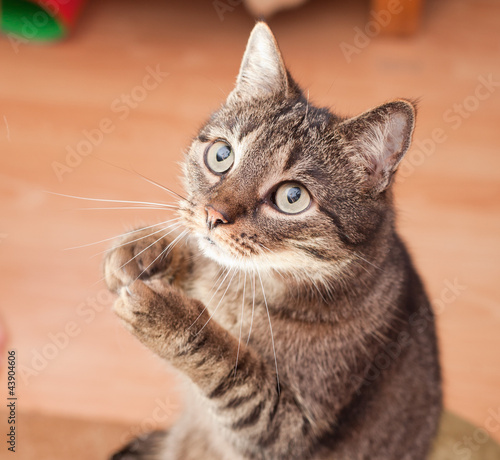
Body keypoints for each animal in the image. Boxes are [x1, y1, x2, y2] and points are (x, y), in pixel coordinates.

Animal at [104, 21, 442, 460]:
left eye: (291, 197)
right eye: (221, 155)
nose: (212, 215)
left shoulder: (284, 430)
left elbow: (230, 364)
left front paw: (168, 315)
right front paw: (143, 251)